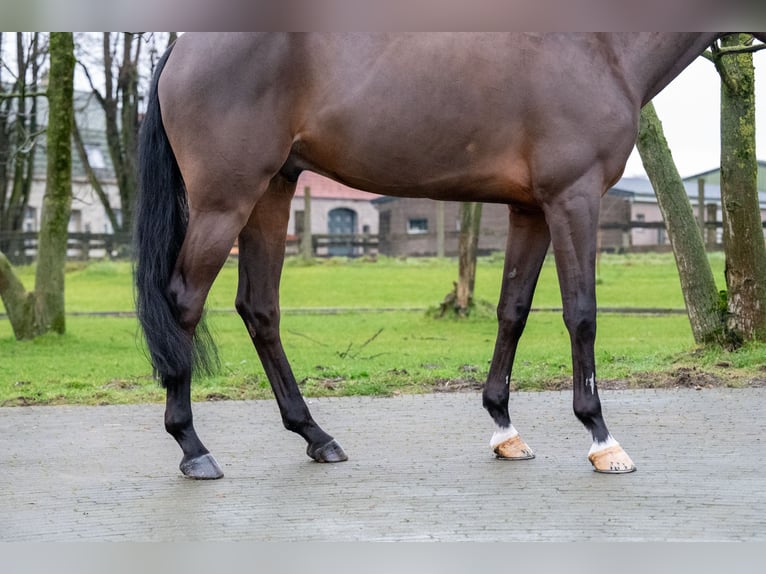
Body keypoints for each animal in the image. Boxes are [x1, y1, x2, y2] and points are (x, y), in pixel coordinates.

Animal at [135, 32, 764, 482]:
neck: (601, 46)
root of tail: (182, 45)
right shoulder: (575, 198)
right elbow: (581, 314)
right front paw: (603, 441)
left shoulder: (529, 210)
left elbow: (513, 310)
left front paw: (505, 432)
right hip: (227, 199)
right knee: (184, 302)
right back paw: (194, 448)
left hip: (273, 190)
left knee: (259, 307)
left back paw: (316, 436)